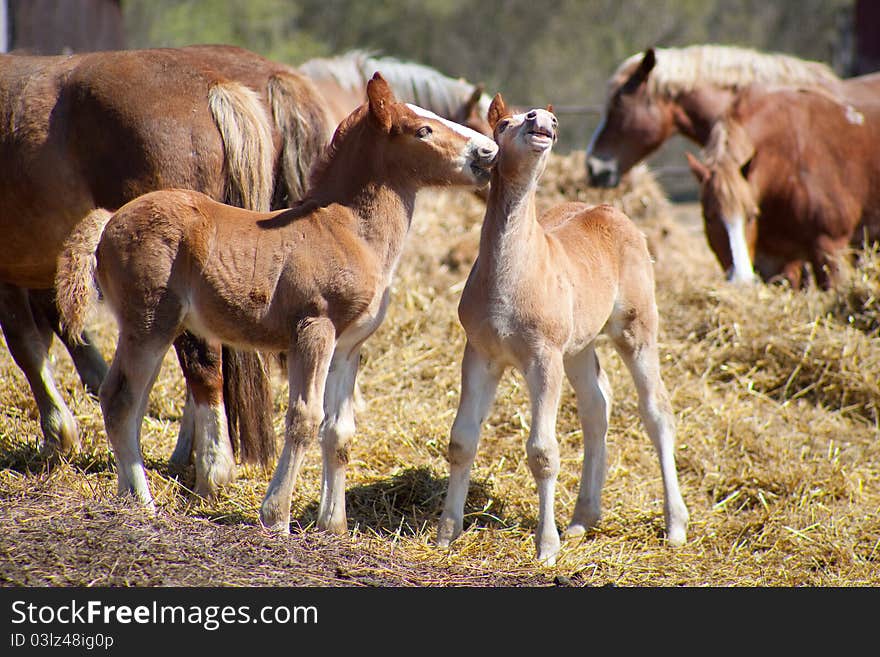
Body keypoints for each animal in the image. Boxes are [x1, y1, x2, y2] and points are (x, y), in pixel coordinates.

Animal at [55, 72, 498, 532]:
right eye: (423, 130)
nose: (487, 151)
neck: (348, 230)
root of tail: (110, 220)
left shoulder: (347, 347)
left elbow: (338, 431)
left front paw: (333, 525)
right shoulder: (314, 331)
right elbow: (305, 419)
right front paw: (277, 516)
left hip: (154, 330)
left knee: (130, 402)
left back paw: (128, 494)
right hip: (148, 324)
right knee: (120, 401)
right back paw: (142, 501)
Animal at [436, 93, 692, 564]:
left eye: (549, 122)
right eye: (504, 123)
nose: (543, 122)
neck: (512, 276)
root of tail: (613, 212)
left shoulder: (543, 357)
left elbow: (543, 452)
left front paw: (546, 547)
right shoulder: (479, 353)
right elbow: (462, 440)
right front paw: (446, 534)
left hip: (635, 330)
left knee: (657, 411)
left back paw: (675, 525)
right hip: (578, 347)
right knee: (596, 406)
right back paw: (582, 518)